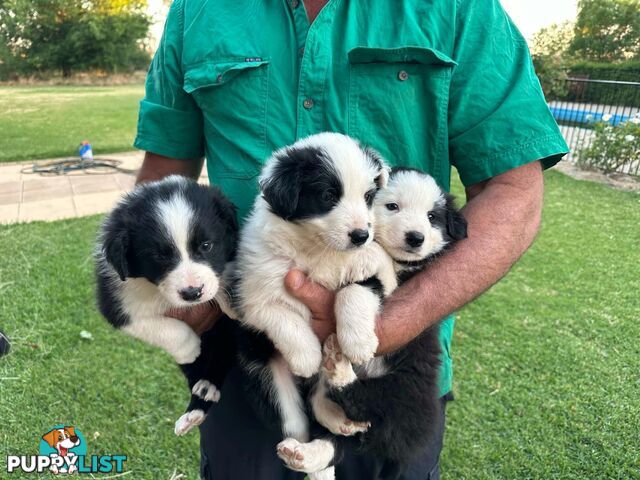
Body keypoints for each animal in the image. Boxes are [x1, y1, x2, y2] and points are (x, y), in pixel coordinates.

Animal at [94, 177, 236, 438]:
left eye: (206, 245)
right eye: (159, 256)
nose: (192, 293)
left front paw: (230, 296)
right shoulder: (118, 305)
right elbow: (165, 328)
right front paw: (189, 347)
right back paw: (197, 404)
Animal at [278, 167, 468, 478]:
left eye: (432, 217)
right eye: (392, 206)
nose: (416, 237)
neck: (400, 264)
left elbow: (354, 291)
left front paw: (357, 341)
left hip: (409, 387)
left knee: (365, 401)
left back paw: (339, 372)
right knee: (340, 436)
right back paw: (305, 450)